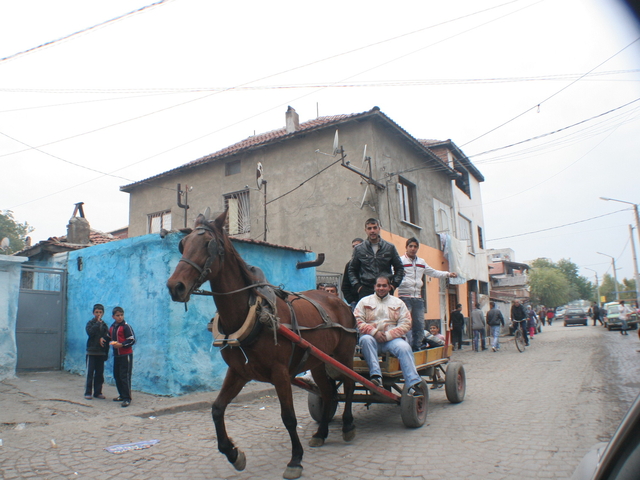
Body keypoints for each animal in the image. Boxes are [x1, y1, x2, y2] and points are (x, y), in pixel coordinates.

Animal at [165, 212, 358, 478]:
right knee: (328, 393)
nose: (175, 286)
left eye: (208, 244)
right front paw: (233, 453)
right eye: (182, 245)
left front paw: (295, 460)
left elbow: (288, 417)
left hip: (344, 356)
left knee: (349, 386)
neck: (252, 314)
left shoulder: (280, 373)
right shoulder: (239, 372)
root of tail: (338, 300)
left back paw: (348, 425)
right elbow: (217, 409)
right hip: (319, 361)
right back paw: (321, 433)